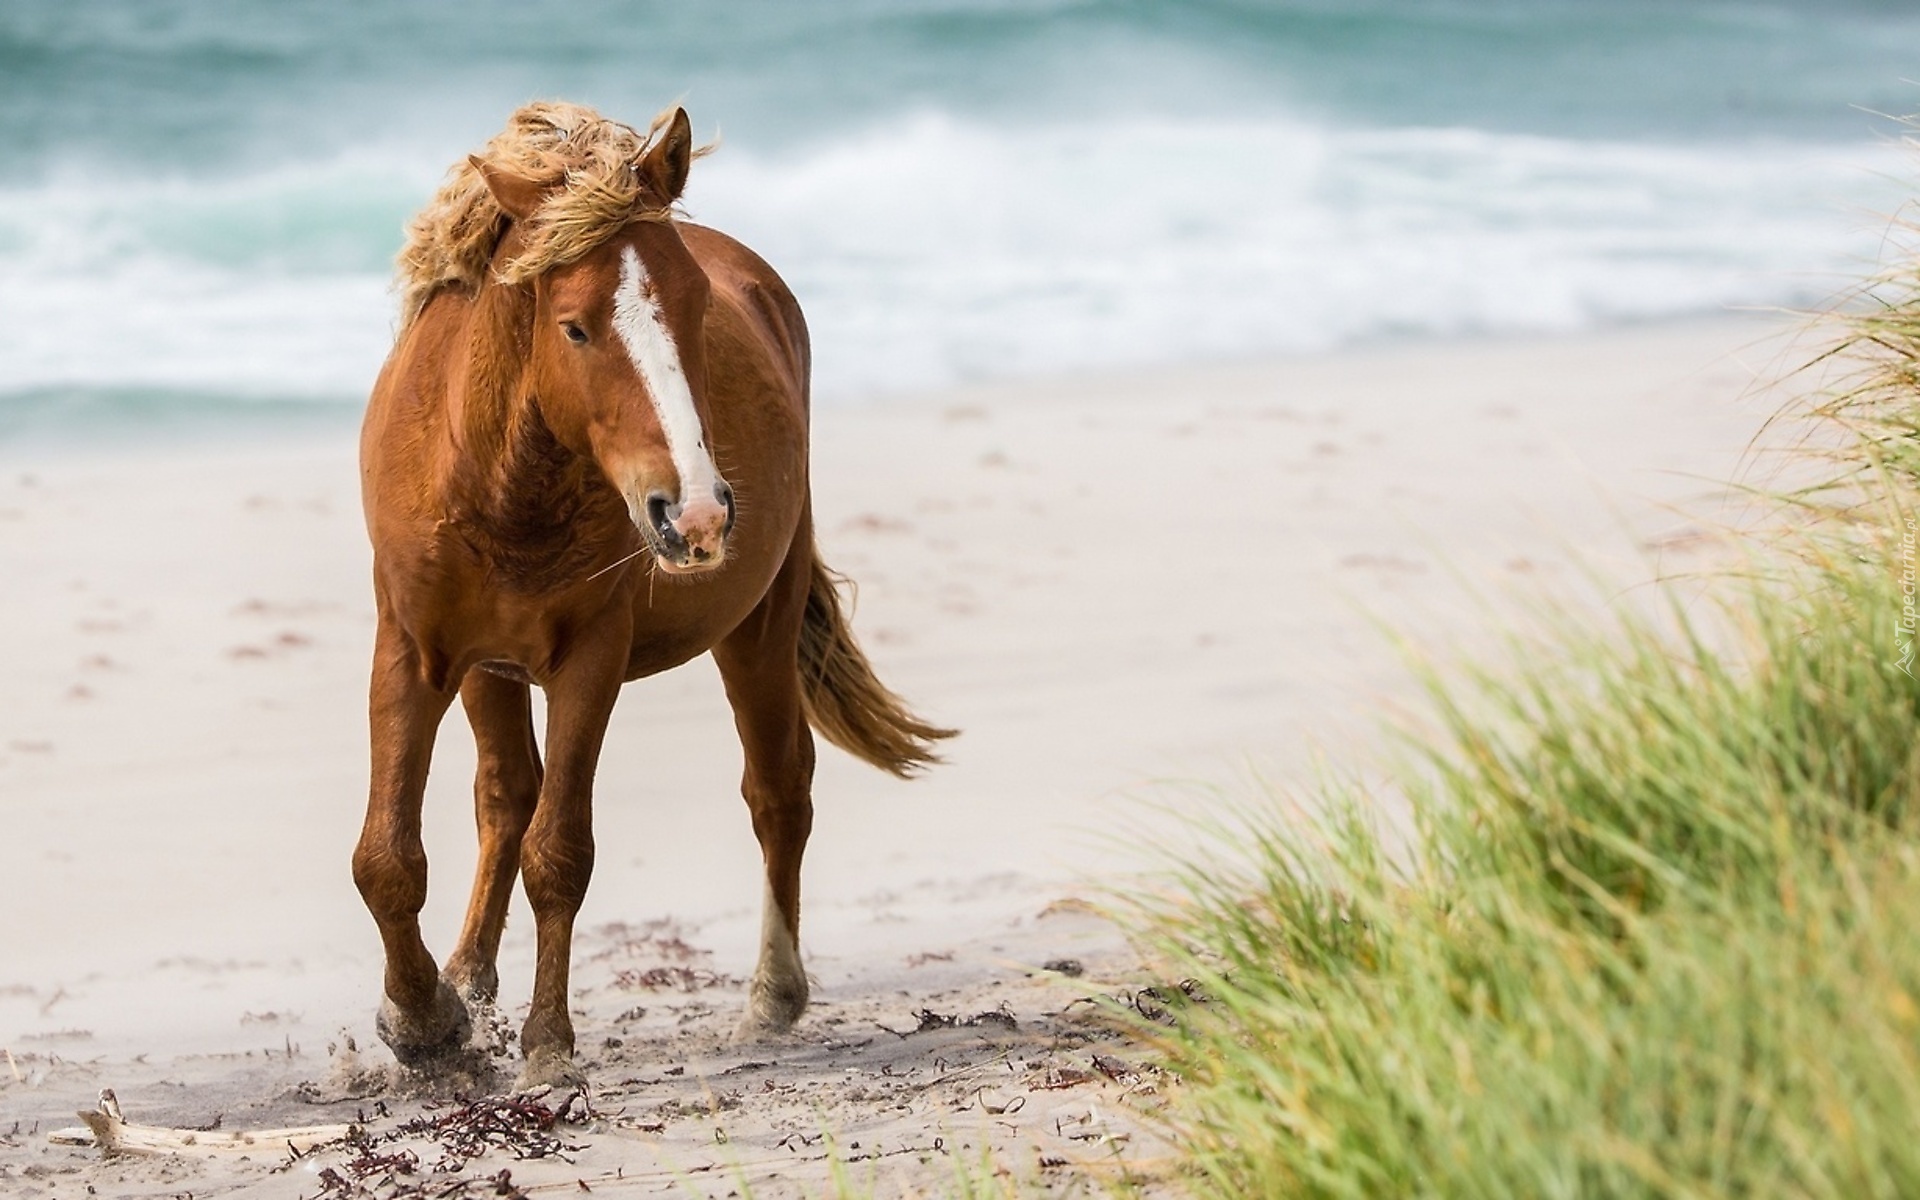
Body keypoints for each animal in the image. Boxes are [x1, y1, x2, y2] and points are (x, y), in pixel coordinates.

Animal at [353, 102, 952, 1082]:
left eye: (698, 307)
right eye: (574, 327)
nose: (698, 511)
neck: (497, 481)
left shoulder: (590, 659)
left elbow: (560, 851)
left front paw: (545, 1043)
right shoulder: (415, 650)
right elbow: (390, 858)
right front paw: (426, 1022)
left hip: (758, 627)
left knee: (778, 791)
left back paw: (771, 997)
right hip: (489, 670)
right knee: (503, 798)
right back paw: (468, 978)